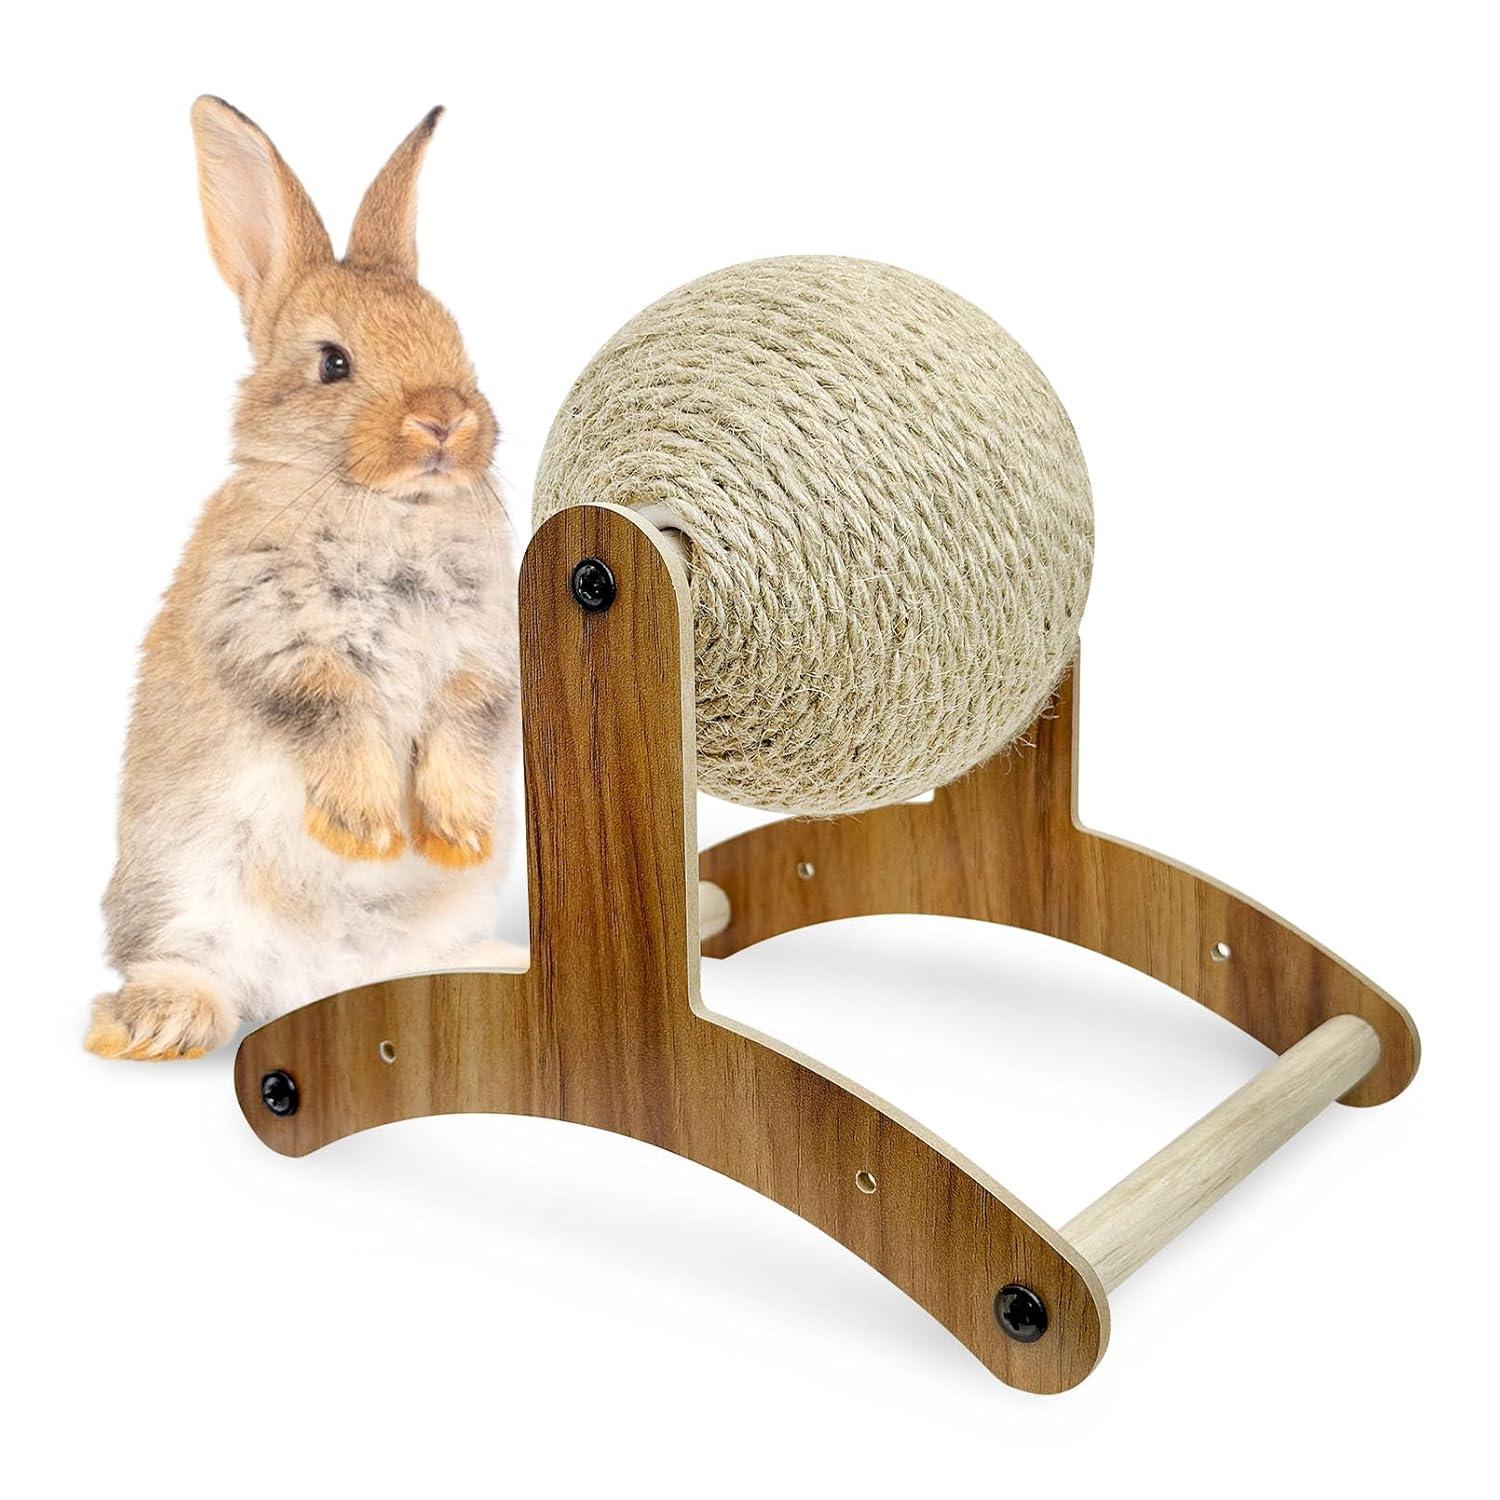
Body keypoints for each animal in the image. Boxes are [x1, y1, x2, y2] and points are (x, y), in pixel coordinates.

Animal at [85, 98, 524, 1062]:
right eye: (333, 363)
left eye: (456, 341)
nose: (445, 419)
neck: (387, 506)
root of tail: (312, 982)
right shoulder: (273, 634)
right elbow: (332, 707)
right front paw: (366, 828)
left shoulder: (483, 654)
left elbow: (460, 721)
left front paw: (455, 829)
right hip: (187, 891)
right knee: (194, 966)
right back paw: (156, 1023)